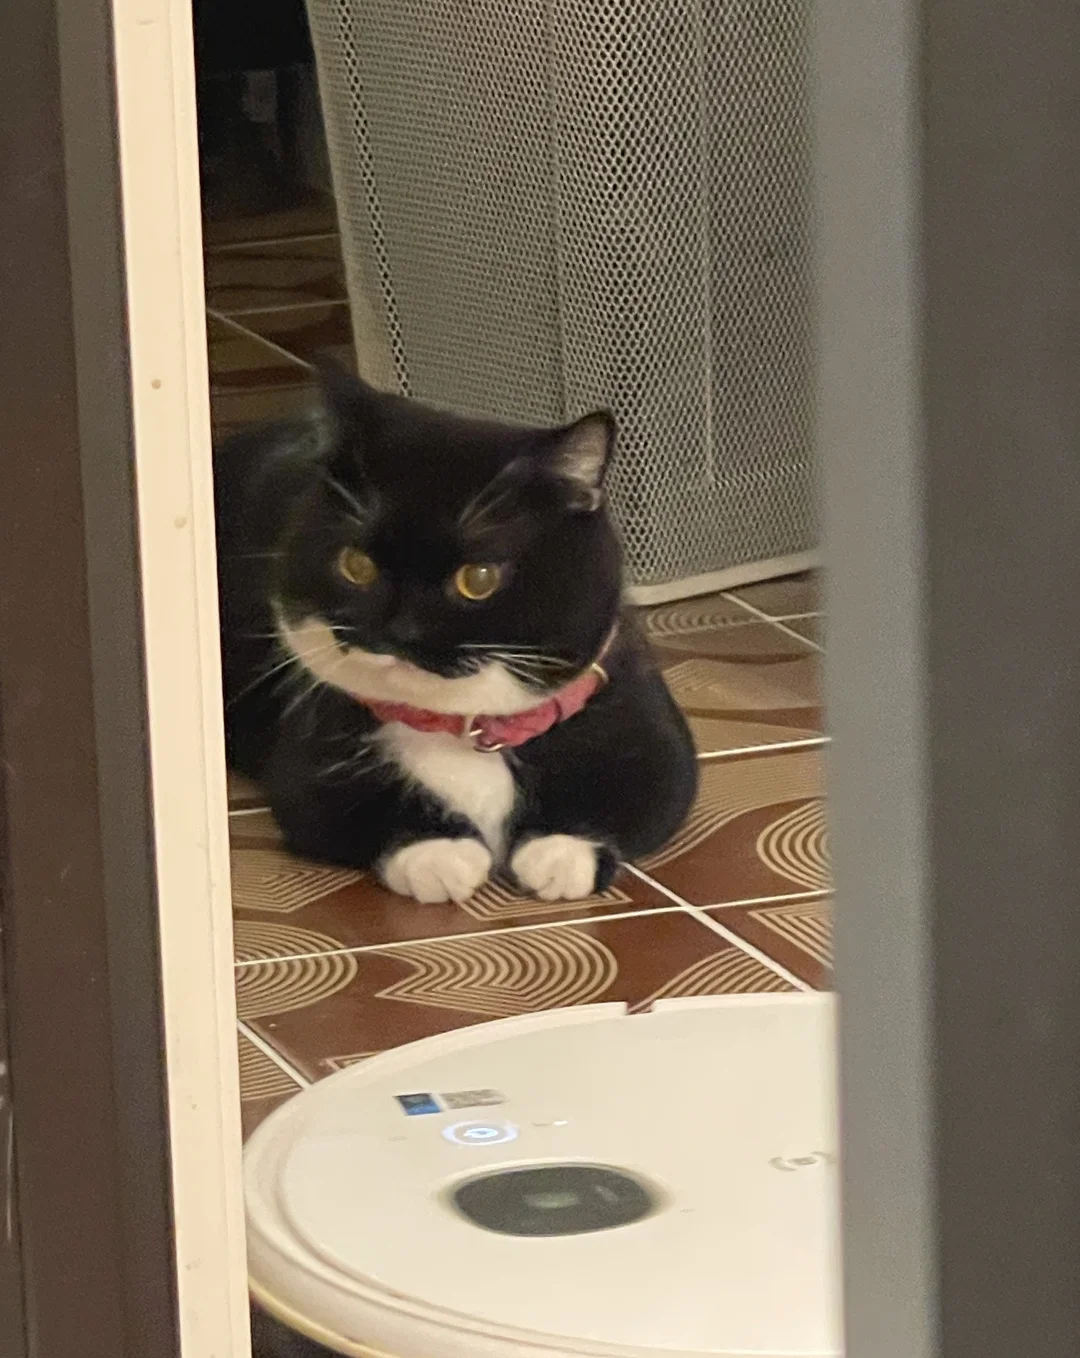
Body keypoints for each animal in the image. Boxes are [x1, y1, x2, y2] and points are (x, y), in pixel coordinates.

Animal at [215, 366, 697, 903]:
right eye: (356, 566)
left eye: (479, 578)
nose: (398, 632)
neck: (462, 727)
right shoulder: (311, 754)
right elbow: (338, 805)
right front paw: (437, 853)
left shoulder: (644, 722)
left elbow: (645, 789)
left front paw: (560, 852)